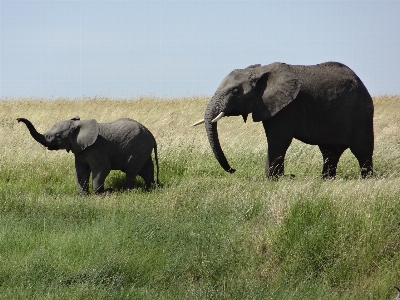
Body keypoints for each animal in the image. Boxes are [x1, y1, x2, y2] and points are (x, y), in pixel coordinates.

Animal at [17, 116, 159, 193]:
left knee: (131, 170)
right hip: (143, 149)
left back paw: (127, 191)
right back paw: (151, 188)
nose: (18, 120)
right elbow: (80, 170)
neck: (79, 125)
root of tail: (151, 136)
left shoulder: (97, 147)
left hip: (138, 148)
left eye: (57, 136)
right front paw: (82, 195)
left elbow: (102, 167)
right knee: (146, 169)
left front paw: (100, 193)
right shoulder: (80, 150)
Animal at [192, 61, 374, 178]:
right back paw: (326, 180)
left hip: (361, 114)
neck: (260, 72)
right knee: (329, 153)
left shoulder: (288, 107)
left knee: (362, 151)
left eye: (235, 91)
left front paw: (273, 178)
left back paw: (367, 179)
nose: (234, 169)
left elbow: (278, 139)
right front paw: (275, 177)